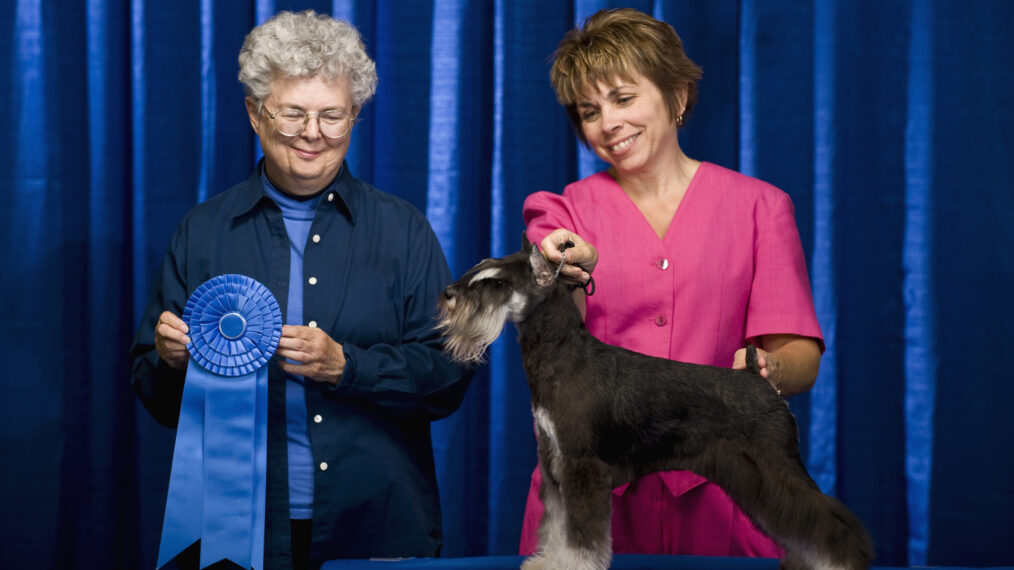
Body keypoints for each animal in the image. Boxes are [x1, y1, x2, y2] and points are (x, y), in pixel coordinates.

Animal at [433, 236, 872, 567]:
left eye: (496, 283)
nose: (448, 294)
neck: (561, 353)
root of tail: (757, 378)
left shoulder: (582, 466)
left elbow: (582, 534)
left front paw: (573, 565)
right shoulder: (556, 463)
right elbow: (557, 525)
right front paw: (548, 562)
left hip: (775, 464)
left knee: (825, 515)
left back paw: (839, 561)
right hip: (754, 479)